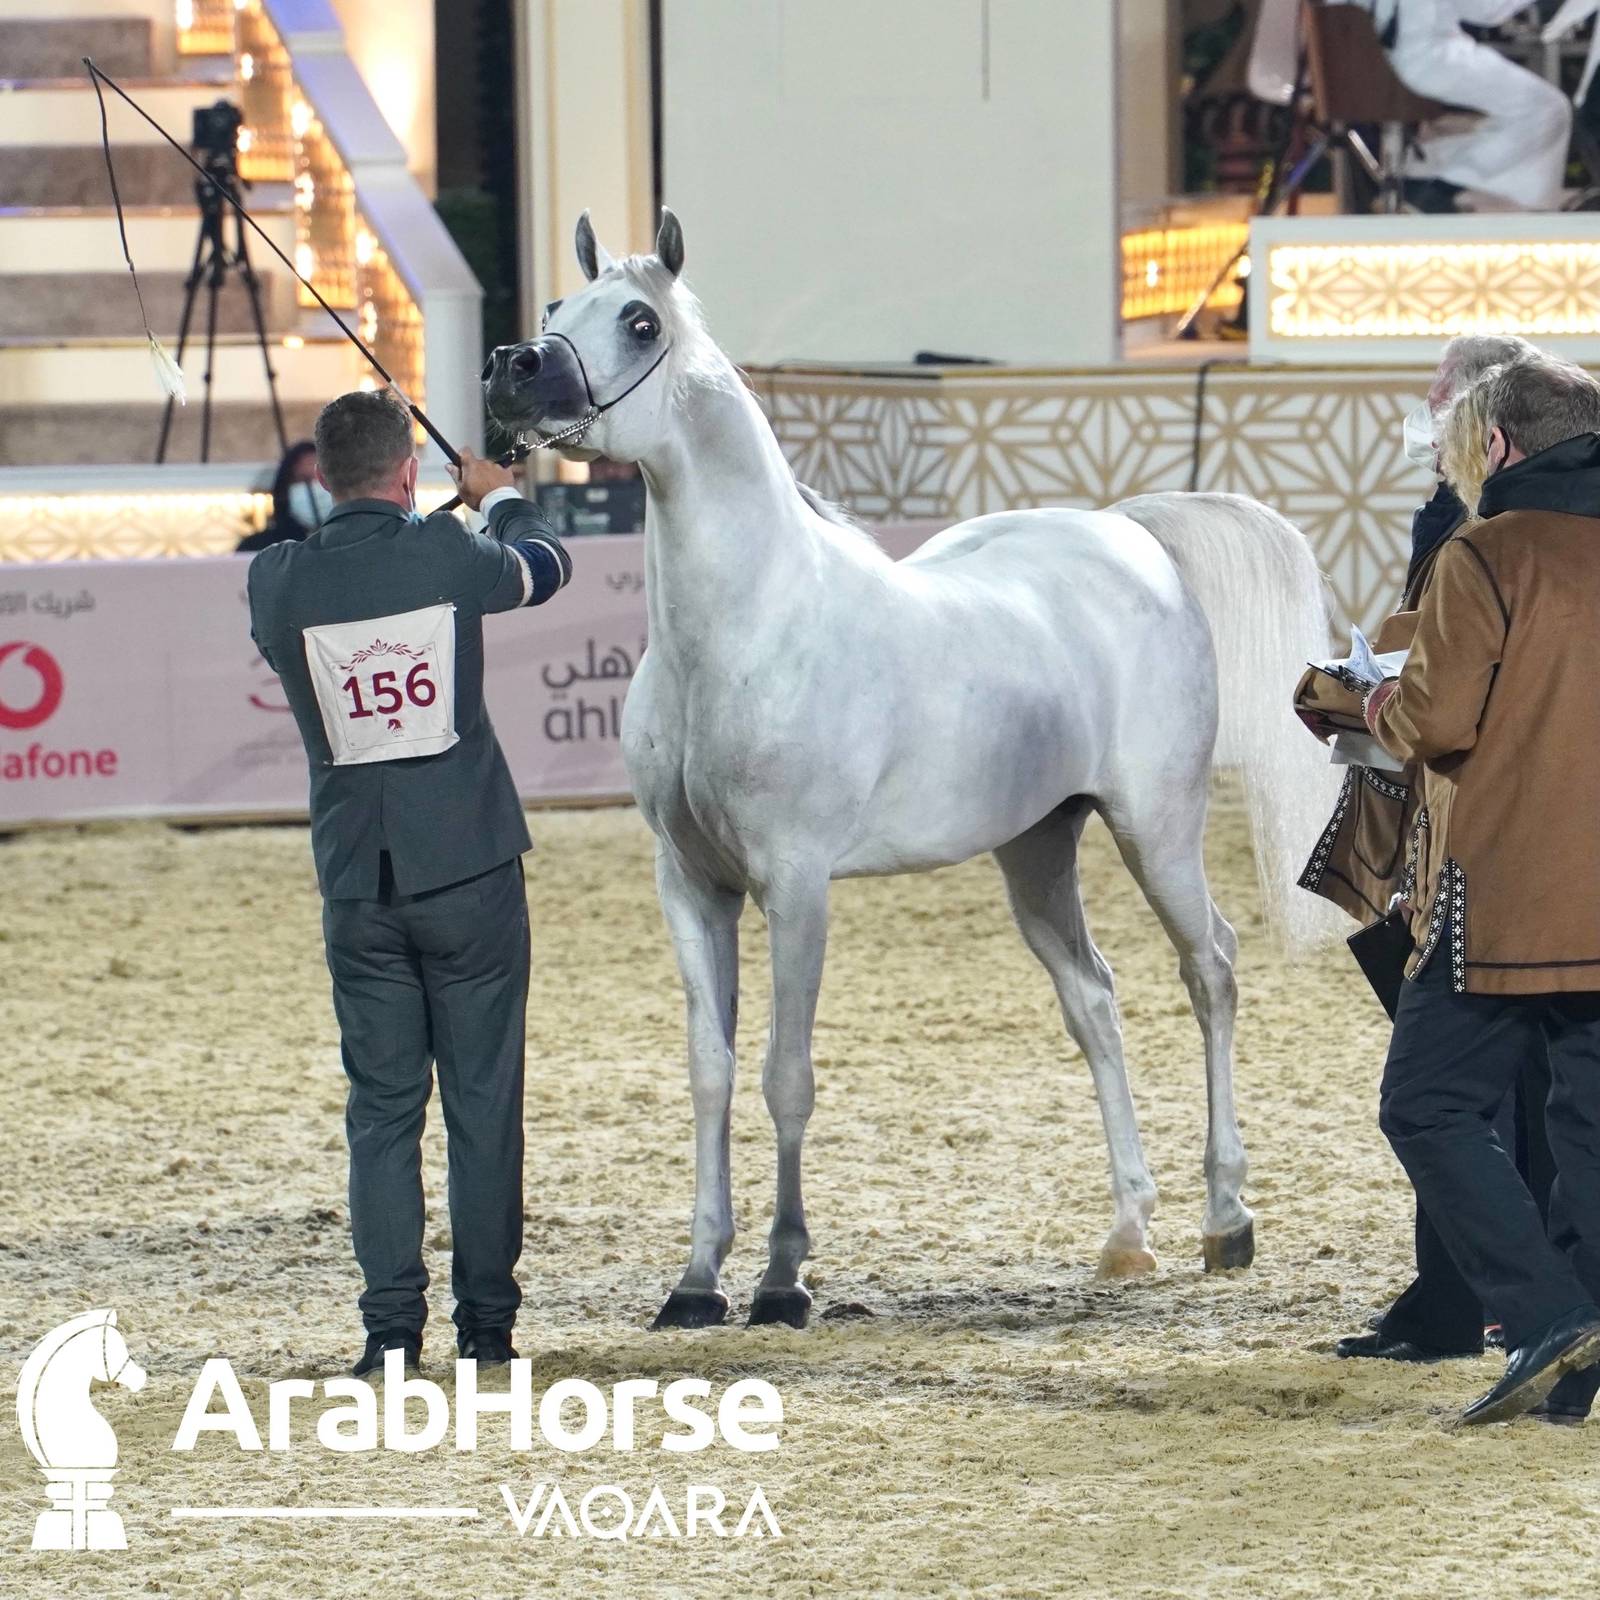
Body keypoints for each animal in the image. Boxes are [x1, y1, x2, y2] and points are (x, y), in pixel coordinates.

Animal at [483, 209, 1338, 1330]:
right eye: (554, 306)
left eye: (638, 320)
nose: (512, 369)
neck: (750, 628)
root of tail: (1129, 535)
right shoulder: (692, 885)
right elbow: (711, 1073)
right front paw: (697, 1279)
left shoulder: (797, 886)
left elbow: (785, 1075)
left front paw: (783, 1279)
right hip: (1036, 850)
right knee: (1095, 1000)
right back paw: (1128, 1233)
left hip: (1157, 829)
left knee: (1213, 970)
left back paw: (1226, 1219)